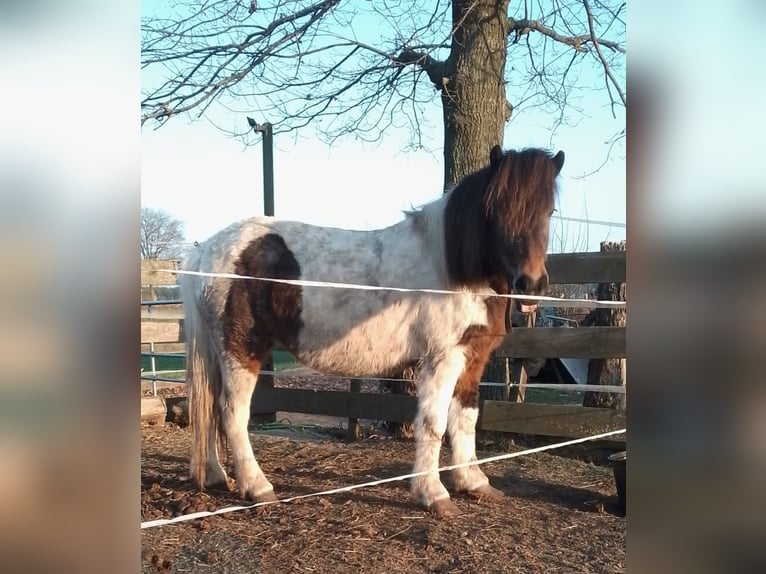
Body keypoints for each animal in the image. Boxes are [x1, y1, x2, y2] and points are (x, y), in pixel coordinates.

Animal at [180, 145, 564, 517]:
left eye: (549, 211)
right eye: (497, 211)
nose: (531, 284)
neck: (453, 269)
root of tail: (208, 251)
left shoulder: (472, 358)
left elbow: (466, 418)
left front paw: (474, 482)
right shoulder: (441, 359)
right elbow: (433, 423)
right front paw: (433, 494)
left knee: (210, 408)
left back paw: (215, 475)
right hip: (241, 349)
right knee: (232, 412)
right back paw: (258, 488)